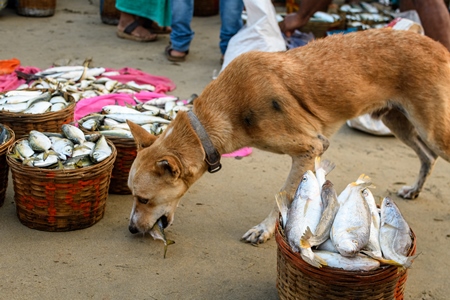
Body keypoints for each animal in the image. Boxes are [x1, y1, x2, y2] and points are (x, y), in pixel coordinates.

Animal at [125, 27, 450, 244]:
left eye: (143, 199)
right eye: (133, 197)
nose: (130, 229)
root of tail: (433, 43)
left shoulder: (311, 147)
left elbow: (284, 194)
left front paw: (265, 229)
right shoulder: (313, 152)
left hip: (433, 130)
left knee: (434, 151)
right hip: (397, 120)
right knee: (427, 157)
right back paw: (415, 189)